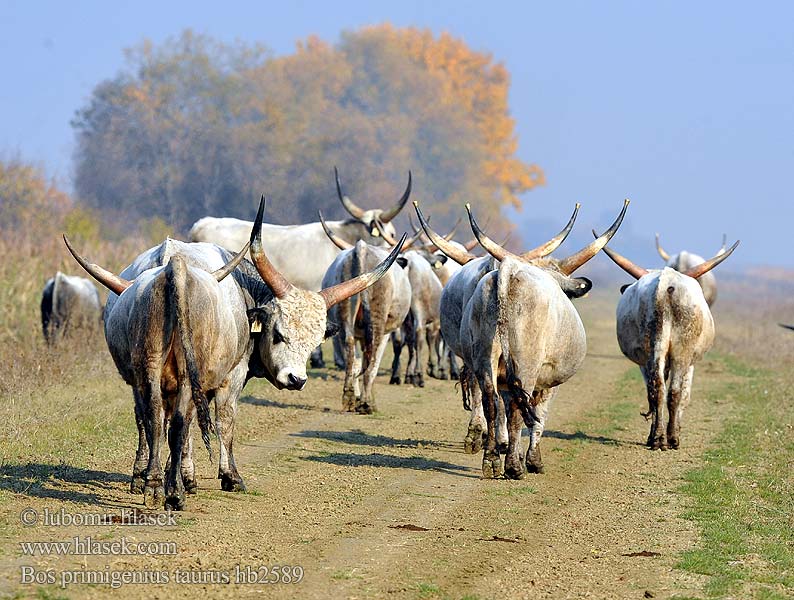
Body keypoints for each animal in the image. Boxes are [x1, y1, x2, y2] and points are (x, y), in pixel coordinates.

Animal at [600, 234, 736, 450]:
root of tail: (666, 284)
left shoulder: (646, 361)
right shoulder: (689, 362)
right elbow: (684, 395)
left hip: (654, 348)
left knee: (658, 389)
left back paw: (658, 438)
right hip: (682, 350)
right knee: (673, 392)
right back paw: (671, 438)